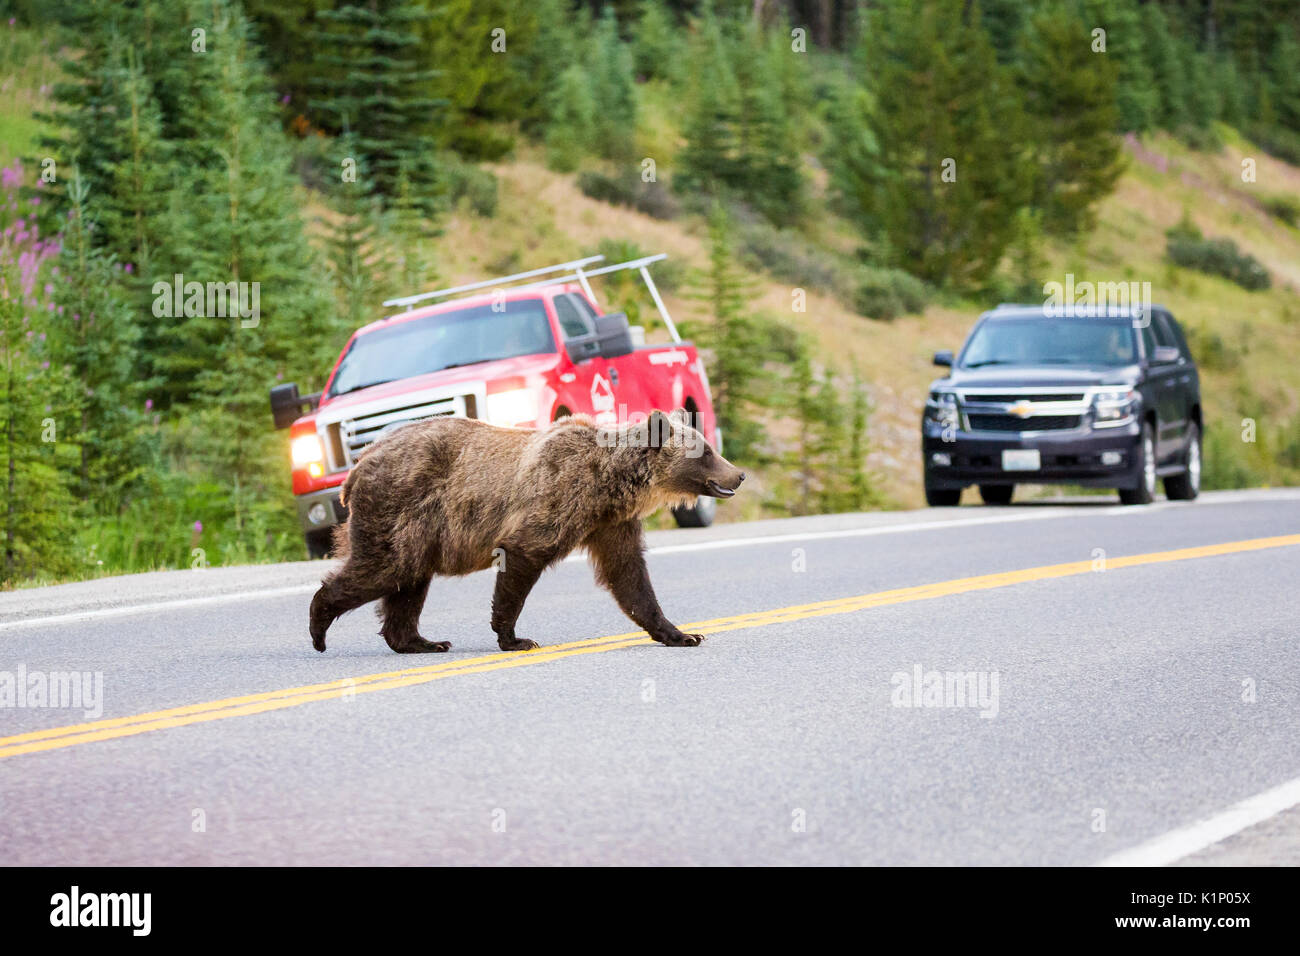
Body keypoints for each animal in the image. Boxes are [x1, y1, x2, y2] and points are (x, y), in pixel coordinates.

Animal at [308, 408, 745, 654]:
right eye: (706, 452)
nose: (739, 474)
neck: (608, 484)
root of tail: (358, 466)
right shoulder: (554, 501)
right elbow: (521, 558)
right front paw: (515, 638)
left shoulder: (610, 523)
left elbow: (629, 576)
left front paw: (683, 634)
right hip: (400, 504)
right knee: (386, 567)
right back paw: (319, 627)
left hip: (419, 528)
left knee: (409, 580)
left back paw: (423, 642)